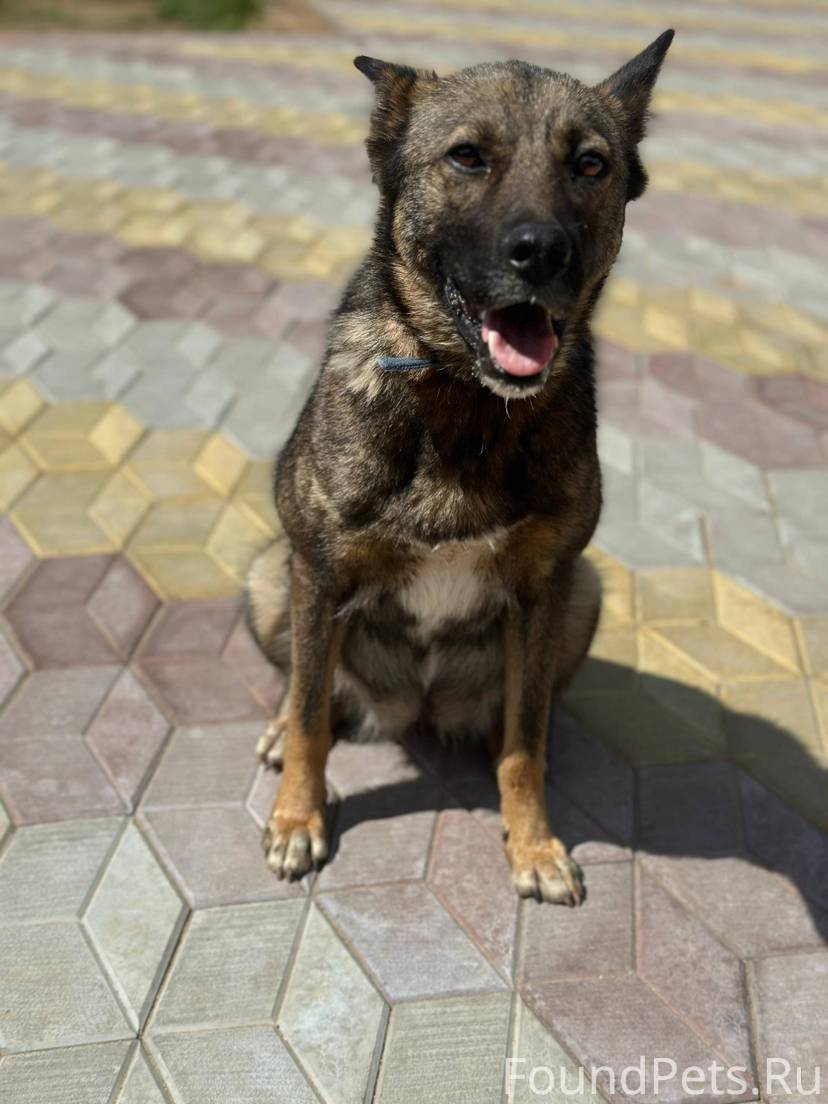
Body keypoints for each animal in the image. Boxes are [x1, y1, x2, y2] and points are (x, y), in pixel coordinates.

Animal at [246, 31, 674, 905]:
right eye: (468, 156)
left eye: (590, 163)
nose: (542, 251)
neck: (468, 404)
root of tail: (413, 707)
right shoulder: (321, 573)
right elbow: (310, 719)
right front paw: (298, 819)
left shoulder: (546, 586)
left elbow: (525, 741)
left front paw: (533, 841)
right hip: (271, 573)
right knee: (313, 690)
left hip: (583, 596)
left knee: (515, 716)